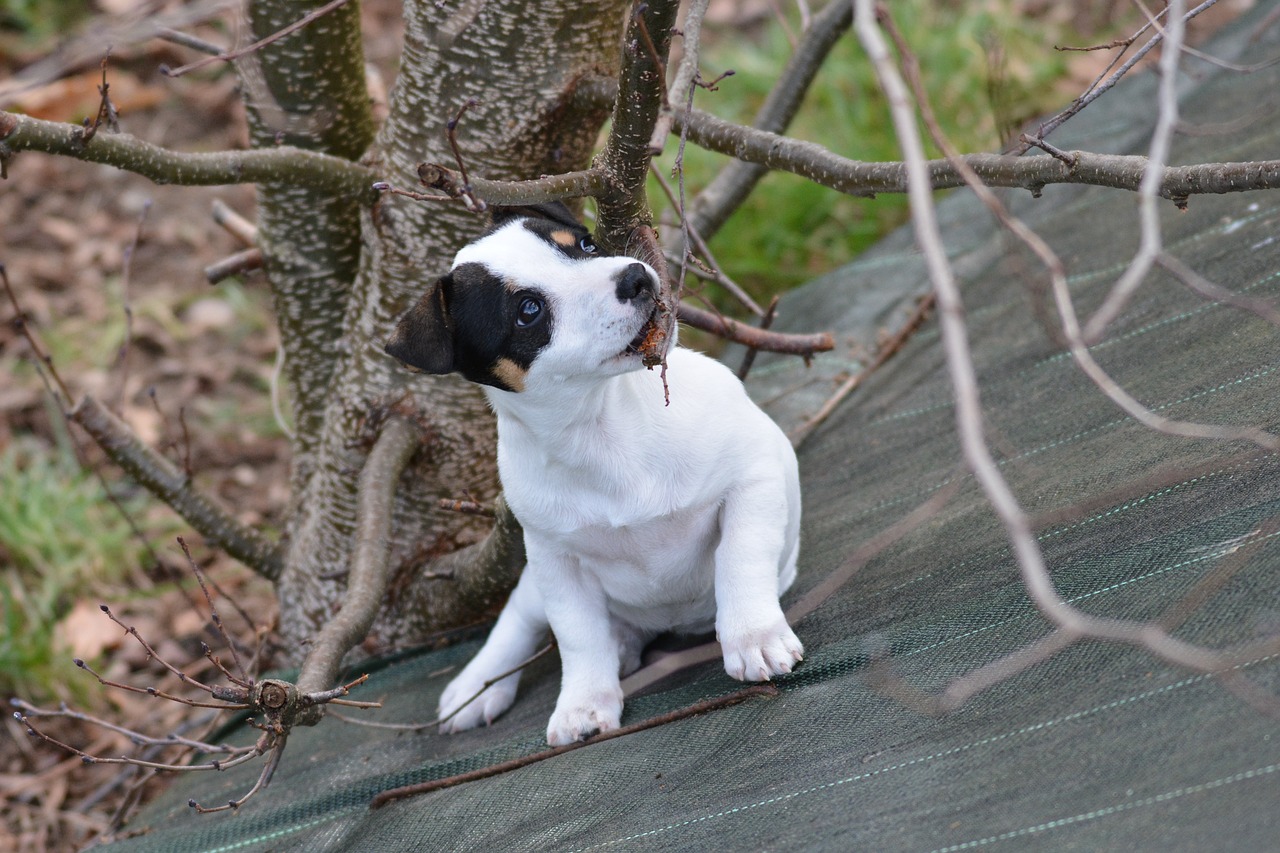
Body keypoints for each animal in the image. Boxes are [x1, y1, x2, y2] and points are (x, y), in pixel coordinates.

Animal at [384, 202, 798, 742]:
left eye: (583, 245)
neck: (601, 430)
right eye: (529, 311)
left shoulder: (751, 478)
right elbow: (578, 637)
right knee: (520, 618)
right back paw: (478, 685)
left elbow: (740, 558)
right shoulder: (556, 564)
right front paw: (583, 703)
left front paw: (754, 638)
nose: (636, 277)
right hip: (536, 580)